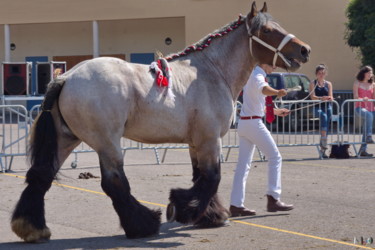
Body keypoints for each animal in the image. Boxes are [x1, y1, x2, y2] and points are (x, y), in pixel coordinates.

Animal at [11, 0, 312, 241]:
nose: (304, 50)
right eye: (267, 30)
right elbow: (211, 178)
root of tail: (65, 77)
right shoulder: (209, 138)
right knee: (114, 183)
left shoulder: (196, 142)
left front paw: (209, 215)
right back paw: (143, 224)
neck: (211, 72)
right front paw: (183, 207)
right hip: (106, 142)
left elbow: (201, 176)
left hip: (67, 139)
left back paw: (31, 228)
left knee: (41, 175)